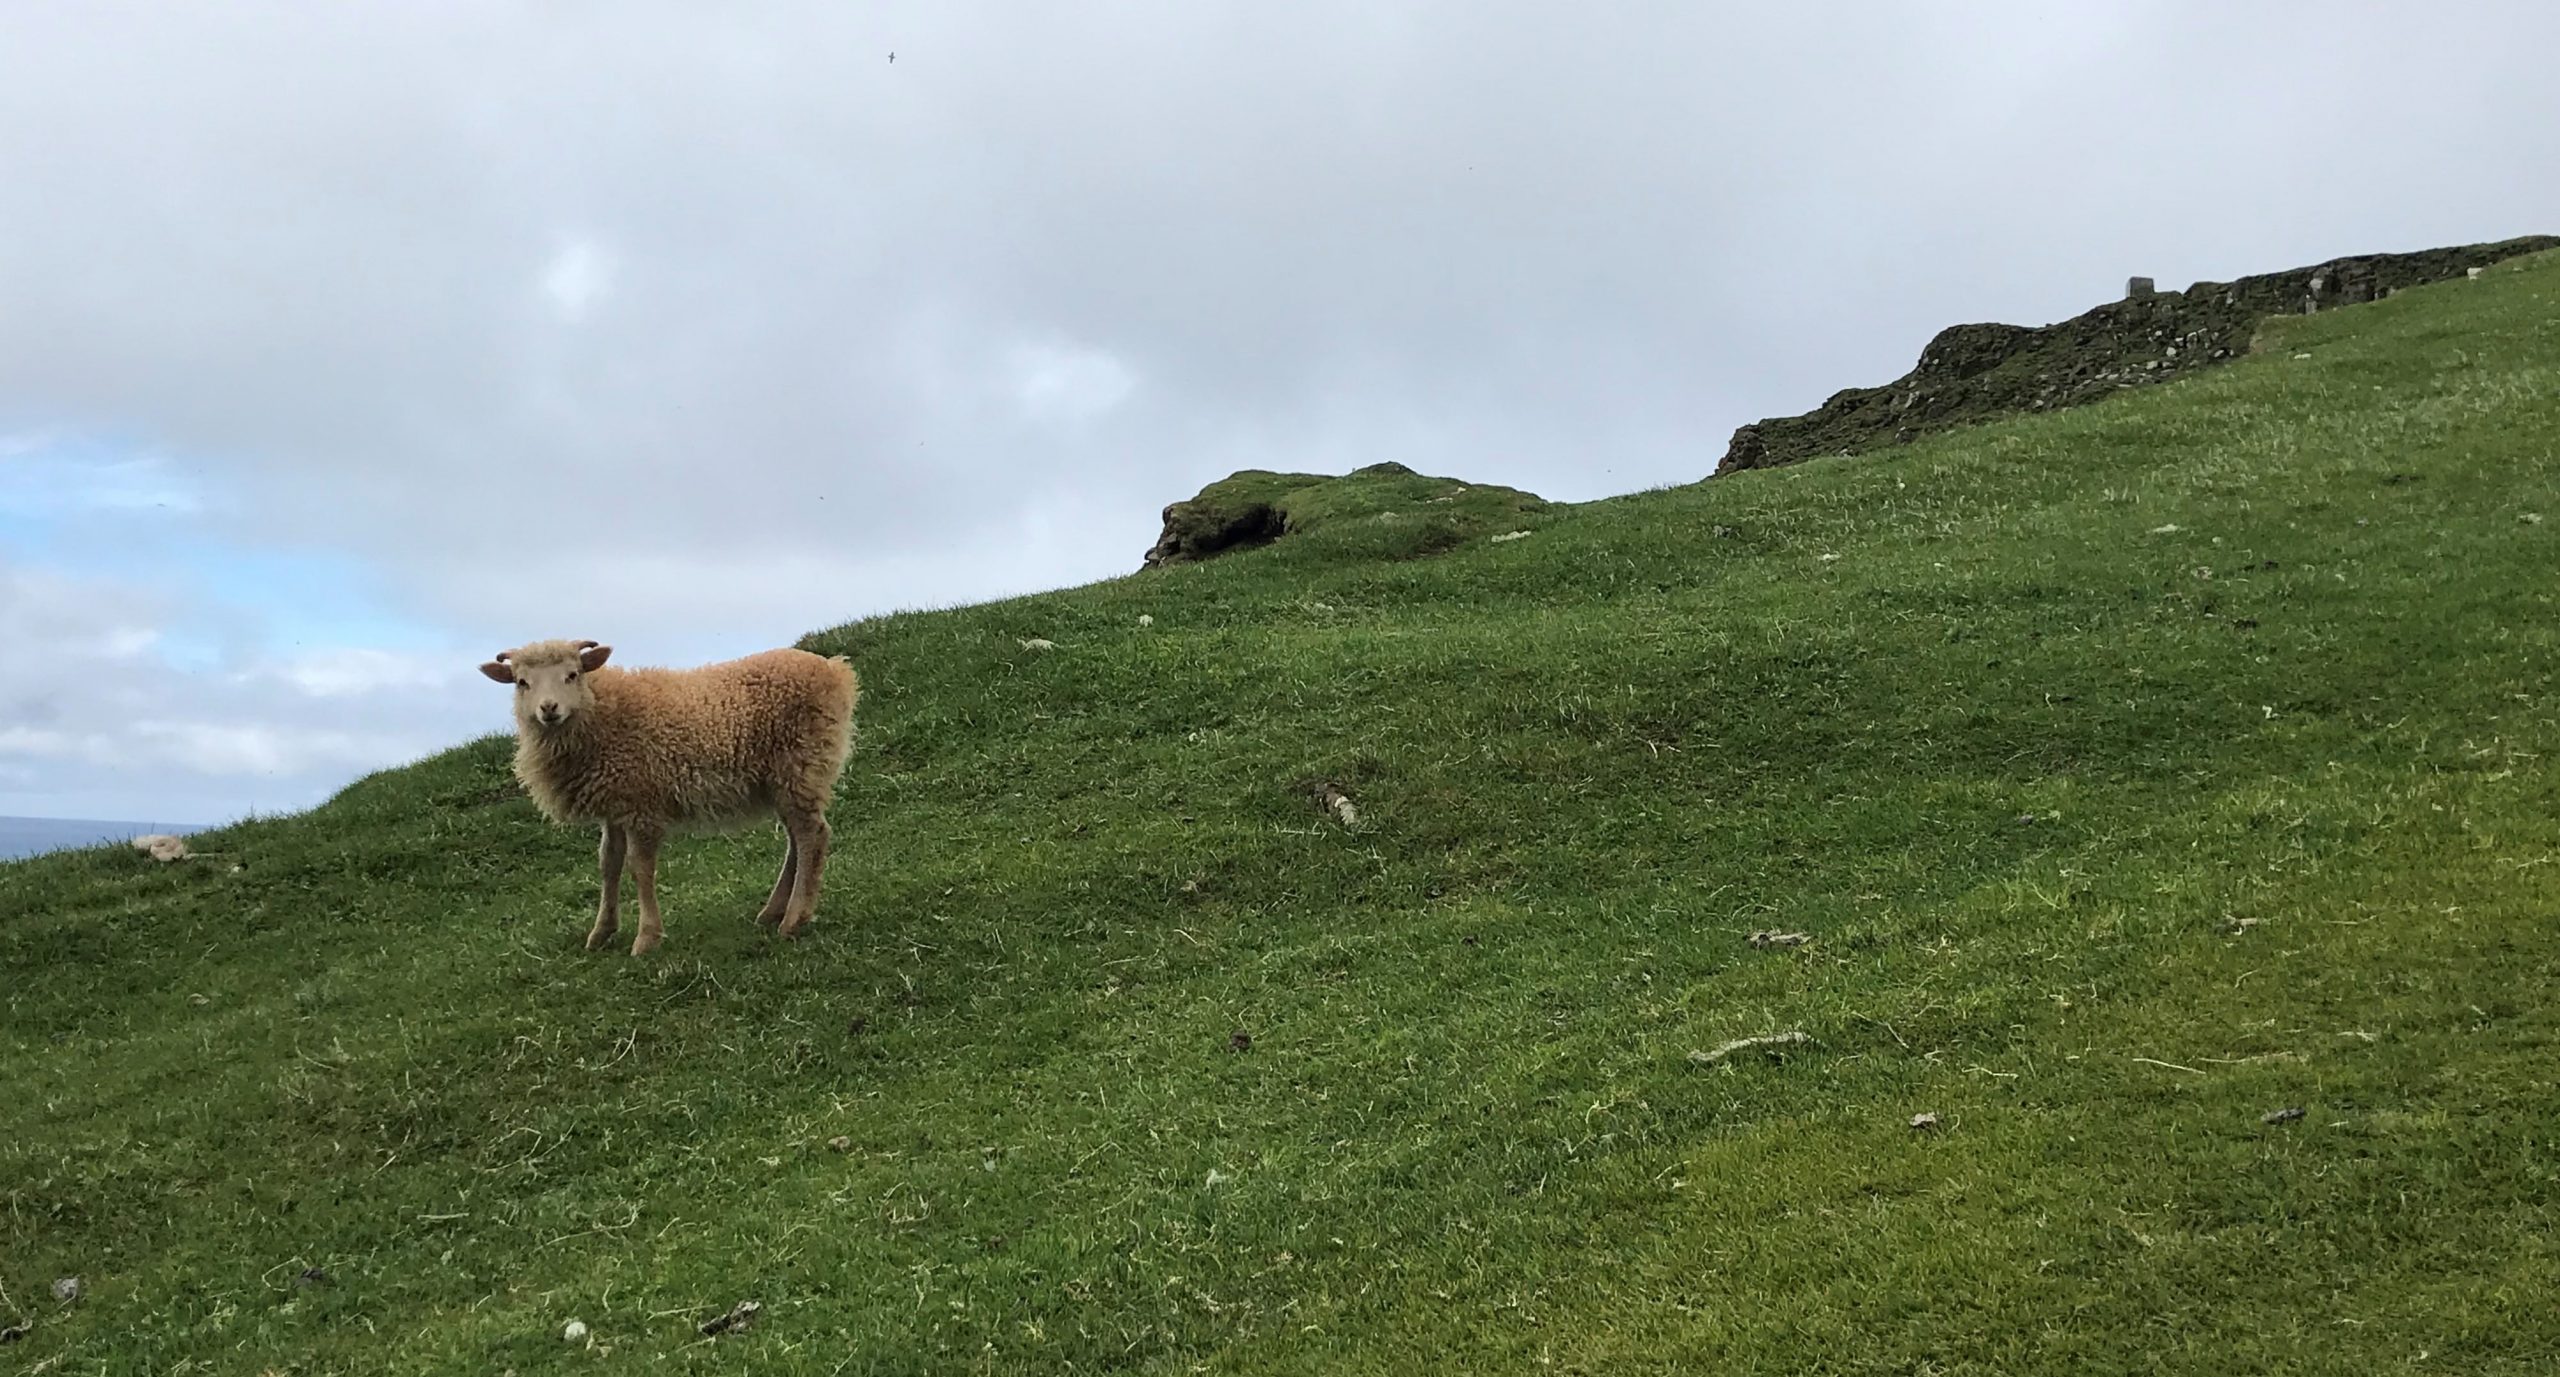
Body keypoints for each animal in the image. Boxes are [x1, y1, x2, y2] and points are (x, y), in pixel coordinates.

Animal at [479, 638, 859, 956]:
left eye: (572, 674)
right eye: (522, 682)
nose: (549, 708)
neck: (602, 714)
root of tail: (835, 670)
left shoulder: (641, 805)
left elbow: (640, 868)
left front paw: (646, 938)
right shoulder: (616, 804)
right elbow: (608, 864)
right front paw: (601, 932)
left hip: (801, 763)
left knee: (812, 835)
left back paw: (794, 920)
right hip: (783, 780)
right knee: (797, 838)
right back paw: (774, 911)